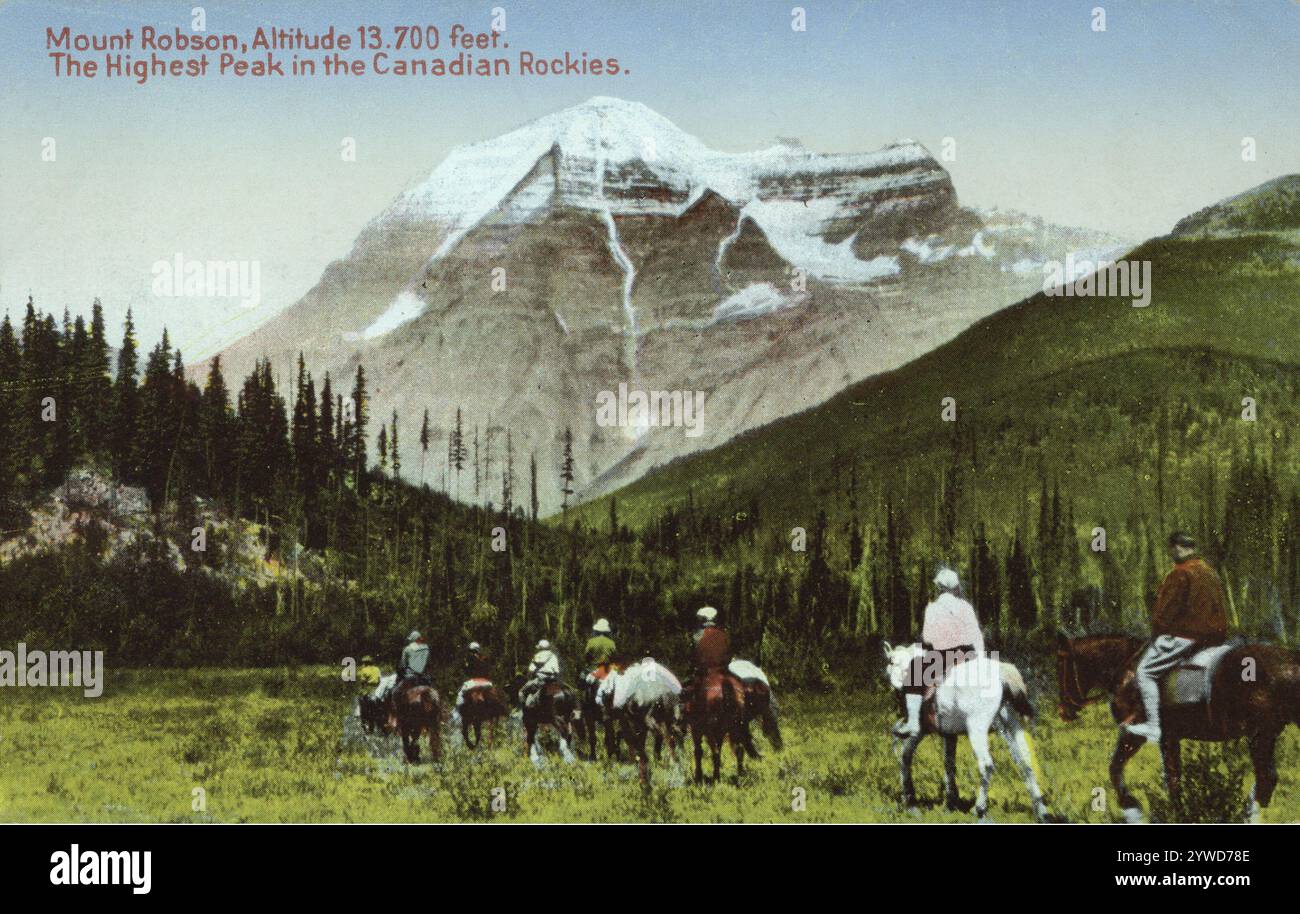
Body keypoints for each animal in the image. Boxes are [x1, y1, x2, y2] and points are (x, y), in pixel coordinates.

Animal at [883, 644, 1055, 821]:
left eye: (891, 661)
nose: (896, 686)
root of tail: (1001, 673)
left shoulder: (919, 732)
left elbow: (905, 757)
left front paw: (910, 800)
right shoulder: (949, 735)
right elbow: (949, 765)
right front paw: (950, 802)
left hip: (977, 729)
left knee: (986, 765)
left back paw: (979, 809)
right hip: (1012, 726)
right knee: (1026, 763)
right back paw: (1041, 811)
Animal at [1055, 631, 1300, 826]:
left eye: (1061, 667)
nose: (1063, 711)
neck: (1126, 670)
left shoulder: (1137, 735)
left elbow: (1121, 771)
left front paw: (1136, 809)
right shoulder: (1168, 738)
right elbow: (1170, 778)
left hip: (1260, 736)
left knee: (1265, 779)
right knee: (1266, 781)